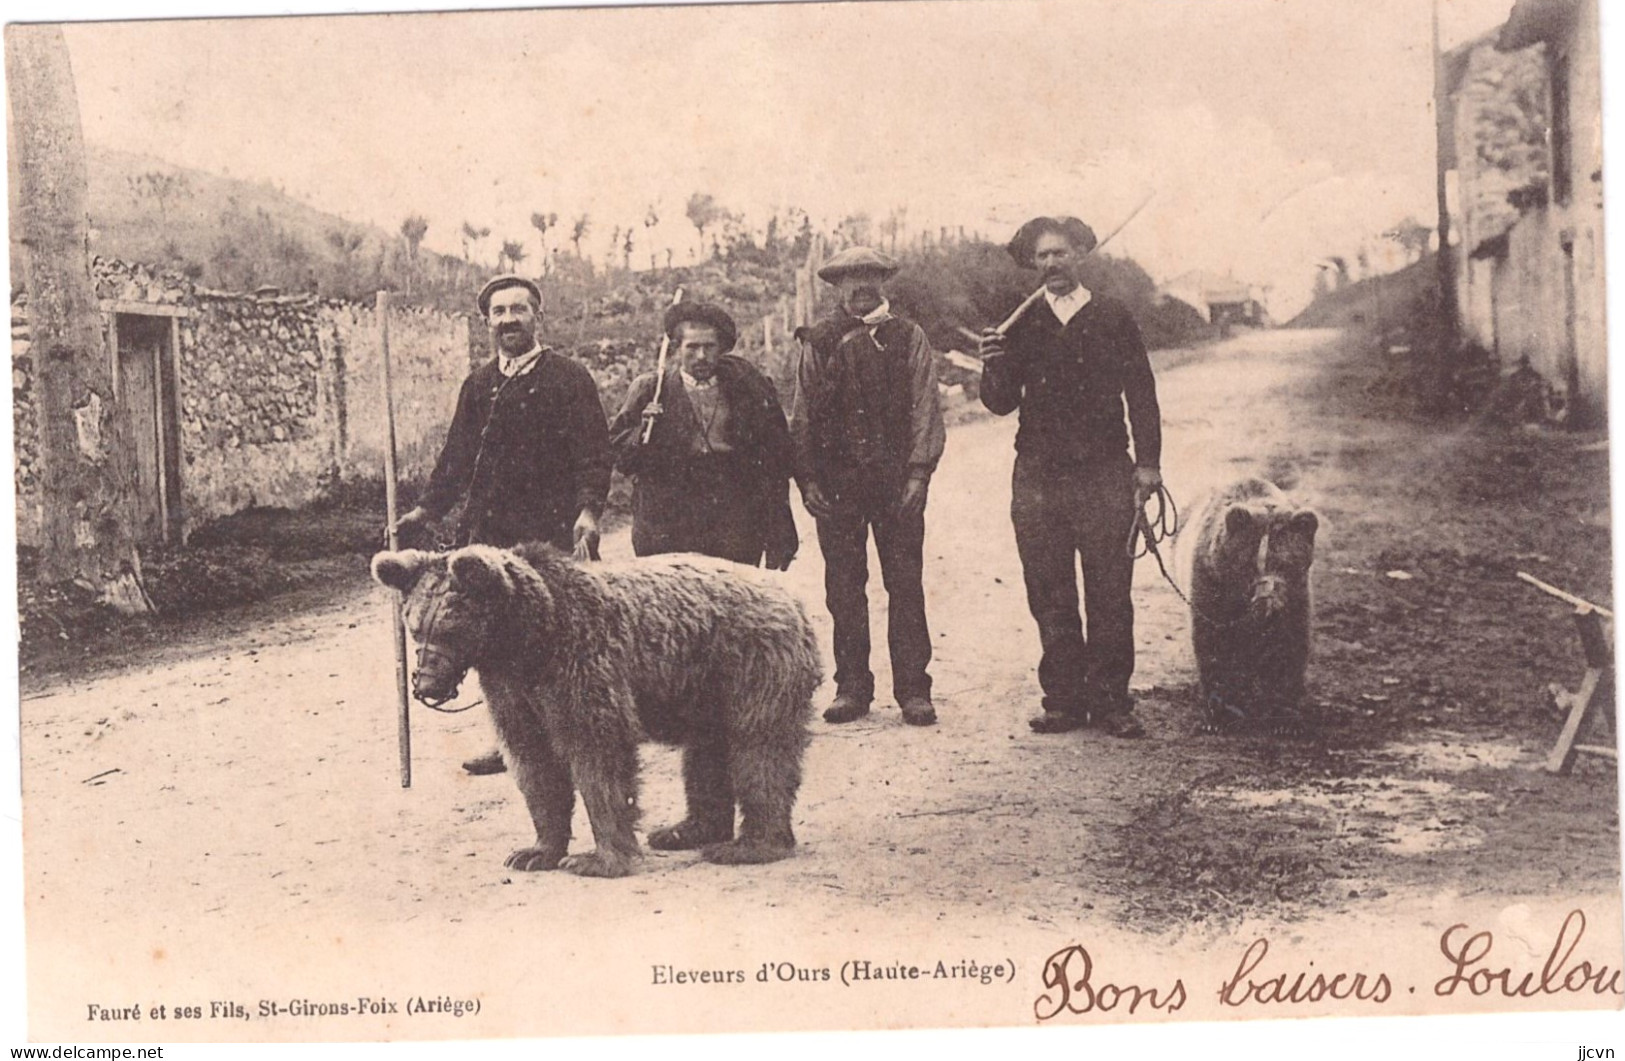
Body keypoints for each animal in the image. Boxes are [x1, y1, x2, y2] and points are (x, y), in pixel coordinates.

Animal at [372, 542, 819, 870]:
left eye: (451, 628)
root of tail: (792, 597)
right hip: (704, 689)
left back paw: (750, 845)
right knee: (706, 752)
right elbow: (533, 762)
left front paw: (597, 858)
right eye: (416, 628)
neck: (527, 640)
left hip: (752, 664)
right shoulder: (513, 689)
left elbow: (598, 753)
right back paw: (685, 830)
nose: (426, 685)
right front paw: (534, 852)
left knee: (759, 749)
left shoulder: (581, 662)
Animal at [1183, 477, 1319, 731]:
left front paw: (1286, 718)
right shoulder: (1211, 581)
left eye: (1284, 564)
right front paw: (1219, 715)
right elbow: (1213, 640)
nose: (1268, 603)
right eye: (1248, 564)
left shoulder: (1296, 595)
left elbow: (1289, 643)